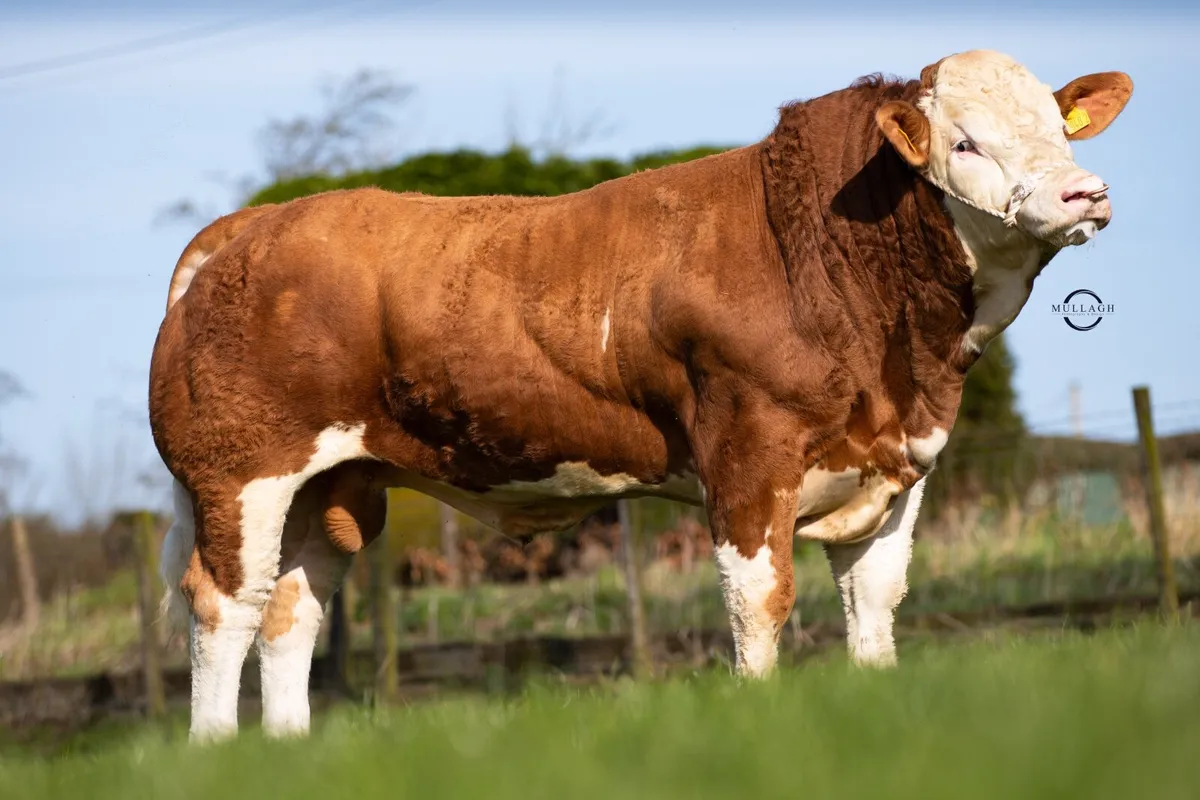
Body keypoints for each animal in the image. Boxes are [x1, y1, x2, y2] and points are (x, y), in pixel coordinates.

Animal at [149, 50, 1132, 742]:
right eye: (965, 142)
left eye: (1063, 129)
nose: (1083, 191)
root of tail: (246, 228)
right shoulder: (747, 453)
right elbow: (759, 600)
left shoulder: (899, 468)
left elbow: (876, 604)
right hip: (242, 473)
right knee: (226, 605)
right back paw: (216, 755)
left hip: (332, 486)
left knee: (293, 609)